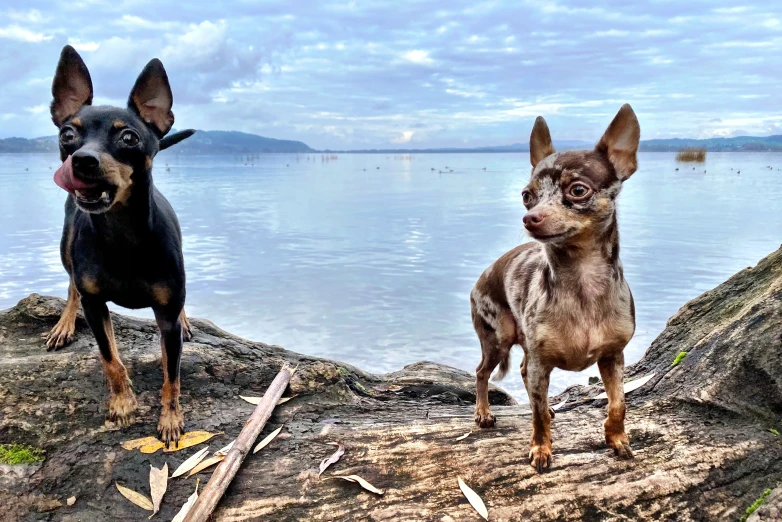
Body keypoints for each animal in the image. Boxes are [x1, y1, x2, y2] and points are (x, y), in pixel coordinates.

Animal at [44, 45, 196, 442]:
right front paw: (123, 402)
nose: (82, 160)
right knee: (71, 286)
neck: (122, 234)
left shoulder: (166, 318)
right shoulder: (96, 306)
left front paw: (170, 419)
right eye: (68, 134)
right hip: (65, 247)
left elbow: (171, 374)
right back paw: (64, 324)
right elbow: (109, 357)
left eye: (128, 137)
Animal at [472, 103, 644, 470]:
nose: (530, 217)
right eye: (527, 196)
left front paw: (617, 439)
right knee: (481, 372)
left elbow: (618, 403)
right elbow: (537, 416)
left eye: (578, 190)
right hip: (498, 338)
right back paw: (483, 412)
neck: (582, 283)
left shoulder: (613, 357)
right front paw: (541, 448)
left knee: (522, 372)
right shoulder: (542, 362)